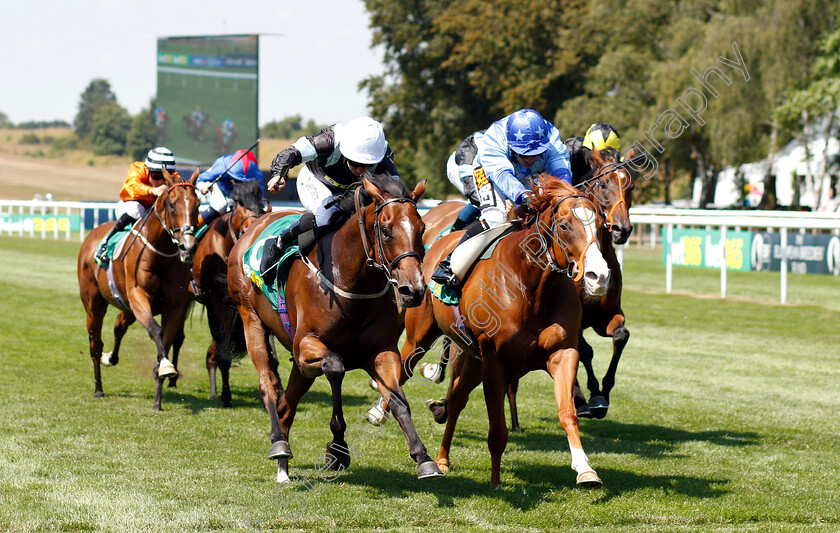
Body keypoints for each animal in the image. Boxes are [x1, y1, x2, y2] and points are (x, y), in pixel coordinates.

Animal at [76, 168, 200, 410]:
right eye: (172, 204)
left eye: (198, 204)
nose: (187, 247)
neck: (160, 254)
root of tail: (92, 235)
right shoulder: (139, 297)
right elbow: (156, 331)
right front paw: (166, 367)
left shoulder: (175, 306)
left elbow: (167, 338)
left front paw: (159, 395)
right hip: (94, 305)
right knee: (95, 343)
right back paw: (98, 387)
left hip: (126, 307)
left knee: (118, 327)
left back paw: (111, 358)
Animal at [193, 181, 266, 406]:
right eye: (238, 203)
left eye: (262, 204)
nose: (252, 229)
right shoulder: (214, 300)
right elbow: (223, 353)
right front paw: (226, 396)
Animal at [226, 176, 442, 482]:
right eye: (385, 231)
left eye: (422, 229)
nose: (413, 290)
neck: (350, 281)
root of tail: (253, 226)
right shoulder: (306, 344)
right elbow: (336, 367)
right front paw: (337, 450)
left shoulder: (382, 350)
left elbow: (397, 399)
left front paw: (423, 457)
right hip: (250, 317)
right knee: (269, 386)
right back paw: (279, 443)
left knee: (287, 404)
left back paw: (283, 466)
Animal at [400, 177, 612, 488]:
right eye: (564, 226)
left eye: (599, 224)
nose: (600, 276)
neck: (531, 288)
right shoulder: (494, 362)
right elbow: (498, 430)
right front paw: (496, 482)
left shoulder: (562, 352)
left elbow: (567, 412)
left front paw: (585, 469)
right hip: (420, 337)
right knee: (401, 372)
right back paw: (381, 415)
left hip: (472, 359)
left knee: (457, 401)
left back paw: (441, 459)